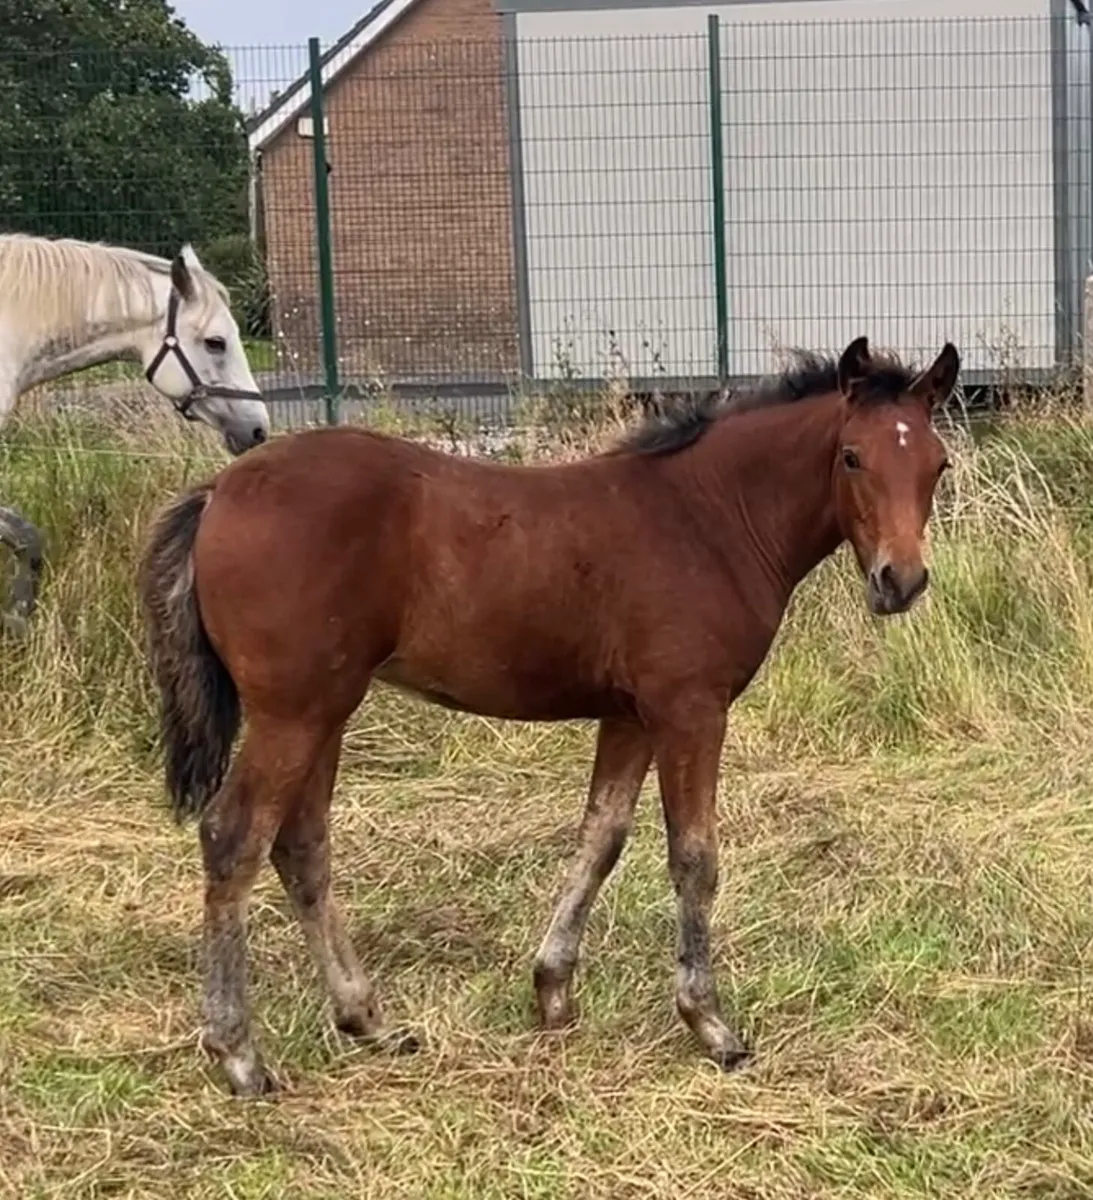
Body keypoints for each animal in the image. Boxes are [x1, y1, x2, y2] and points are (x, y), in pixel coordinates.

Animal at [138, 335, 960, 1096]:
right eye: (851, 457)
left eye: (937, 464)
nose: (901, 580)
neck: (709, 518)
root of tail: (219, 490)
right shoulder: (689, 709)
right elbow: (694, 856)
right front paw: (710, 1023)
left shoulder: (631, 716)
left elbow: (601, 836)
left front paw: (553, 991)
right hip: (294, 712)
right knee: (235, 838)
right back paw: (240, 1054)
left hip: (324, 711)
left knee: (300, 846)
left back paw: (368, 1020)